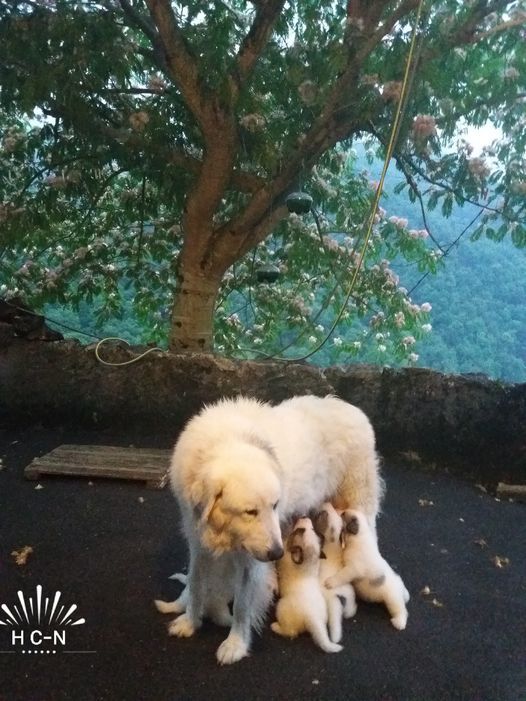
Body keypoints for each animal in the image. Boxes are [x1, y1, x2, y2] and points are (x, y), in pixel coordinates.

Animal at [274, 516, 344, 652]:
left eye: (300, 531)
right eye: (312, 529)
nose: (304, 516)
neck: (308, 563)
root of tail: (313, 618)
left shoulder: (285, 556)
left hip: (282, 608)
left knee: (290, 632)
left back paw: (275, 627)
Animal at [314, 500, 358, 644]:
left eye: (324, 513)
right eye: (331, 511)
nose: (327, 501)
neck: (333, 545)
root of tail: (333, 597)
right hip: (347, 588)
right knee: (350, 599)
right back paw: (350, 611)